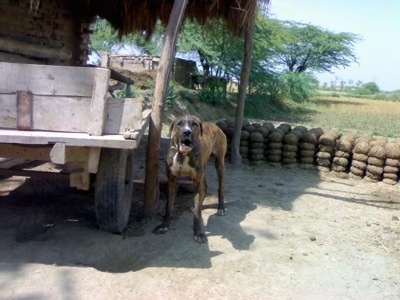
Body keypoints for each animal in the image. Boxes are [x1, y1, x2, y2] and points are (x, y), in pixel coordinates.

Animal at [154, 115, 227, 244]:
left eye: (194, 124)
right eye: (179, 123)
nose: (187, 132)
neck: (183, 155)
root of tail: (215, 125)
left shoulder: (196, 180)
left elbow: (197, 215)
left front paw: (198, 232)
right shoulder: (172, 180)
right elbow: (168, 206)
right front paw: (164, 225)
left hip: (219, 164)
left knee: (220, 187)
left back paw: (221, 208)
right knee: (204, 188)